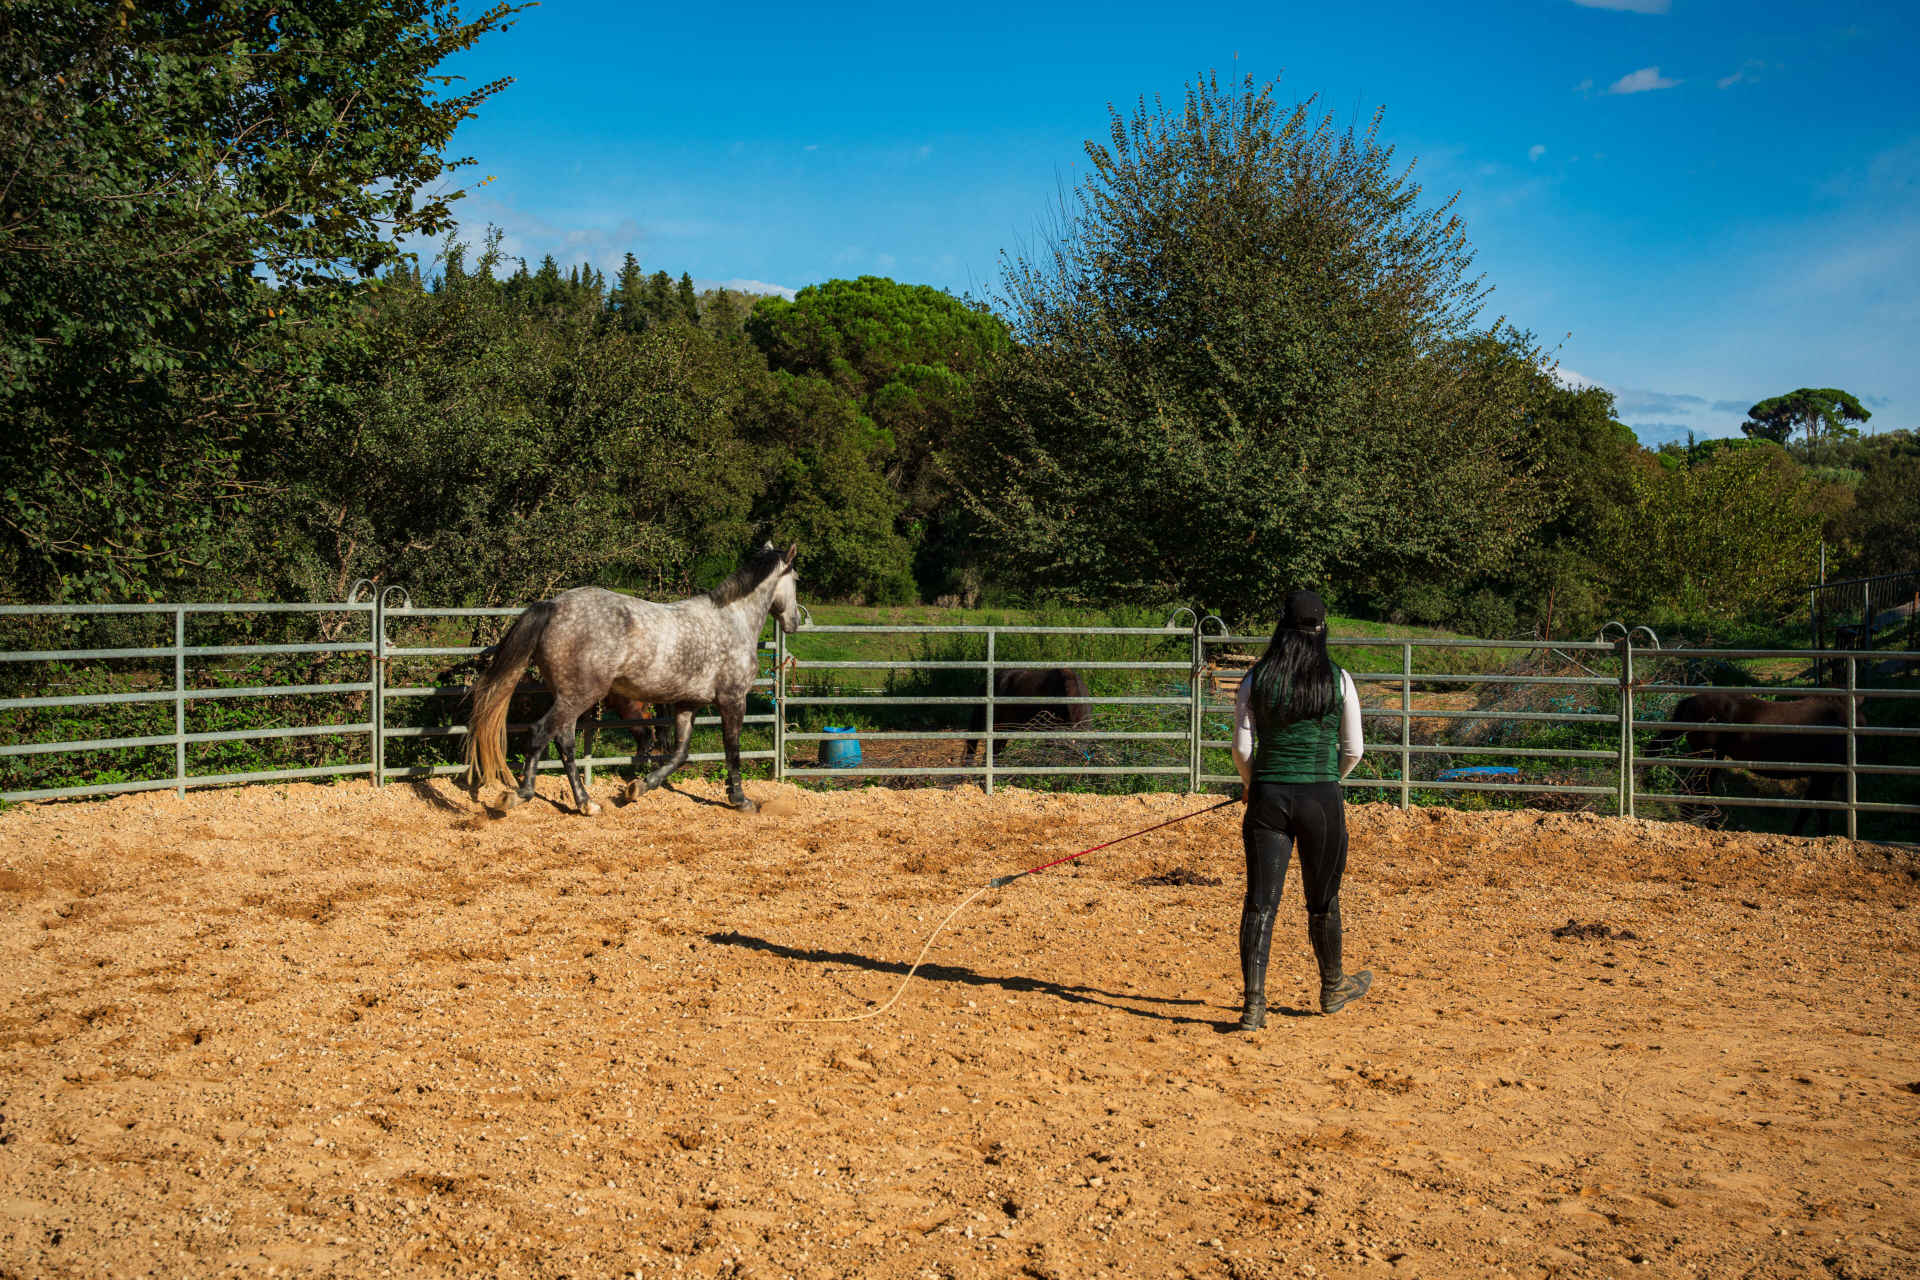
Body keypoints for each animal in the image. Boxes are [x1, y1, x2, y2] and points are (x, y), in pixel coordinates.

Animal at [465, 542, 800, 815]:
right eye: (796, 580)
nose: (795, 622)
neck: (733, 620)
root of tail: (554, 605)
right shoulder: (733, 699)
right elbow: (732, 749)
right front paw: (741, 800)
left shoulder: (687, 704)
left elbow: (679, 753)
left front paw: (637, 788)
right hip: (579, 695)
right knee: (539, 733)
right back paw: (518, 796)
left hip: (570, 696)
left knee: (564, 742)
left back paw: (586, 803)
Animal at [1650, 691, 1865, 836]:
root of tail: (1691, 700)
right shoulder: (1825, 776)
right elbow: (1817, 809)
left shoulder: (1822, 776)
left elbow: (1812, 807)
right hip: (1707, 756)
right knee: (1695, 789)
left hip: (1714, 758)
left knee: (1699, 789)